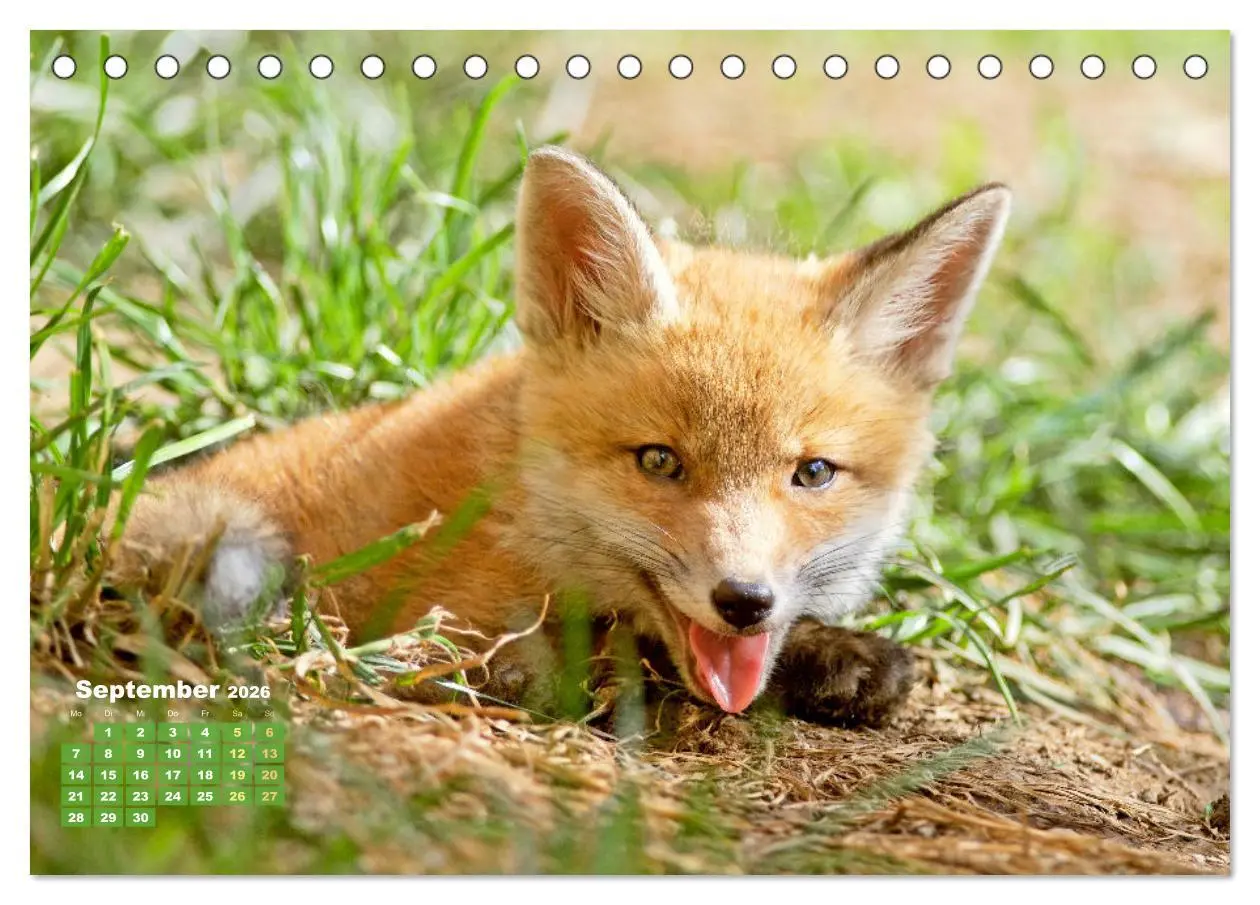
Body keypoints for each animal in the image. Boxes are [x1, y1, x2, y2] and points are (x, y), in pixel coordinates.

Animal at [106, 146, 1011, 726]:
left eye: (813, 473)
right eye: (659, 461)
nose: (744, 601)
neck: (519, 505)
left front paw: (832, 655)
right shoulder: (451, 623)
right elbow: (586, 659)